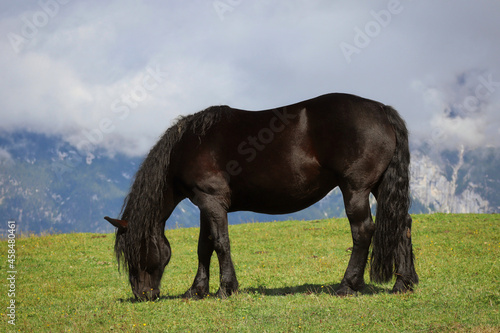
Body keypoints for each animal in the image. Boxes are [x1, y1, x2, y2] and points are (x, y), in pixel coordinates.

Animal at [104, 92, 418, 300]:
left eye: (133, 251)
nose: (143, 295)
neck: (187, 146)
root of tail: (382, 110)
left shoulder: (210, 200)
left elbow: (220, 243)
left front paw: (226, 288)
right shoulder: (207, 204)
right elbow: (204, 246)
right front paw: (196, 290)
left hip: (355, 189)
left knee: (362, 231)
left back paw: (347, 285)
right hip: (380, 187)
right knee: (403, 224)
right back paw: (403, 284)